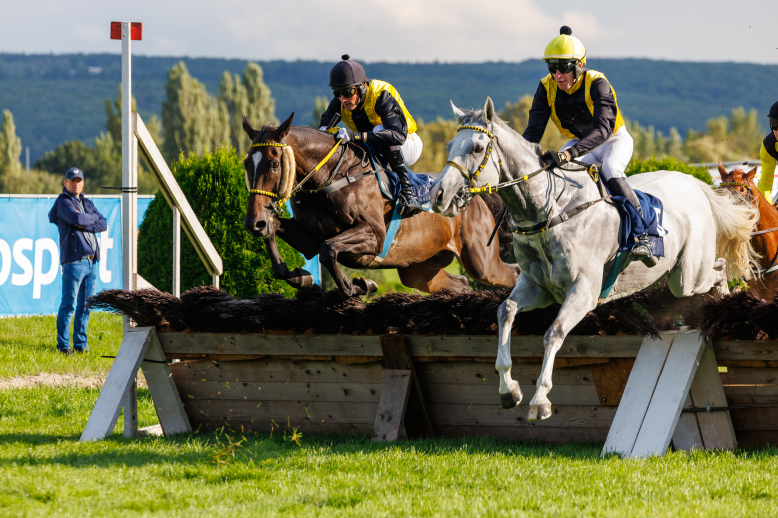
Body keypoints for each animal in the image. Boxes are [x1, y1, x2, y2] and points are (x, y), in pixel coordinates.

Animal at [241, 115, 520, 298]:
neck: (333, 176)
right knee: (460, 283)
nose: (253, 222)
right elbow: (282, 233)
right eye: (246, 163)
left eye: (274, 164)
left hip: (482, 262)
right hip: (420, 269)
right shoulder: (309, 237)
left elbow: (328, 249)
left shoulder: (374, 234)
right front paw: (302, 278)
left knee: (514, 273)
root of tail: (474, 197)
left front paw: (360, 286)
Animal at [428, 97, 756, 422]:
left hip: (687, 277)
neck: (548, 211)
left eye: (477, 148)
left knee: (718, 270)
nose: (437, 195)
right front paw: (509, 390)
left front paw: (540, 400)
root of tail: (694, 182)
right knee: (718, 268)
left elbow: (554, 332)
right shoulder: (537, 287)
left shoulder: (583, 291)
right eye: (449, 145)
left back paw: (723, 301)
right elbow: (505, 311)